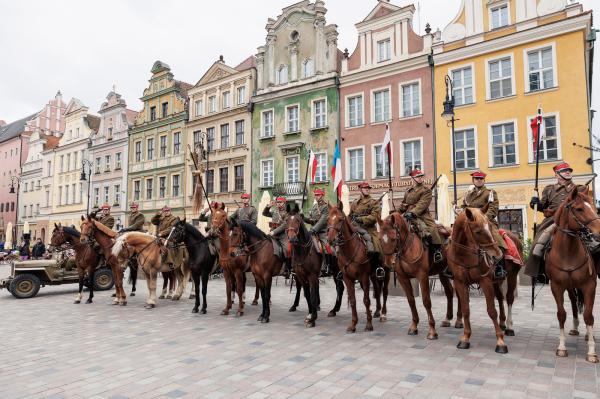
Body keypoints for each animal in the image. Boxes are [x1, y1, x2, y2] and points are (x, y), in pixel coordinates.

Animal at [324, 203, 384, 334]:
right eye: (328, 219)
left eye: (340, 219)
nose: (331, 240)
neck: (350, 250)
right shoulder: (347, 278)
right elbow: (352, 300)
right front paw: (353, 324)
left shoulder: (364, 277)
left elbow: (366, 300)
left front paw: (368, 325)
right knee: (377, 290)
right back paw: (375, 311)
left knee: (381, 291)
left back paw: (381, 313)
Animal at [380, 212, 460, 340]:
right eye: (380, 238)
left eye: (394, 238)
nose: (388, 263)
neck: (408, 246)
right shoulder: (402, 277)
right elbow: (411, 300)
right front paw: (414, 326)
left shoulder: (422, 276)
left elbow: (426, 301)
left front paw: (432, 331)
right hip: (442, 273)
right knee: (449, 292)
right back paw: (447, 319)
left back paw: (459, 321)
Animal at [544, 186, 600, 364]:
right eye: (579, 209)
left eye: (594, 207)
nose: (599, 232)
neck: (568, 252)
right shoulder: (556, 286)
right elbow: (561, 314)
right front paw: (561, 347)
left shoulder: (590, 285)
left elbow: (589, 315)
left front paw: (591, 351)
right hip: (569, 287)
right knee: (574, 303)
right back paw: (575, 328)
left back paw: (589, 335)